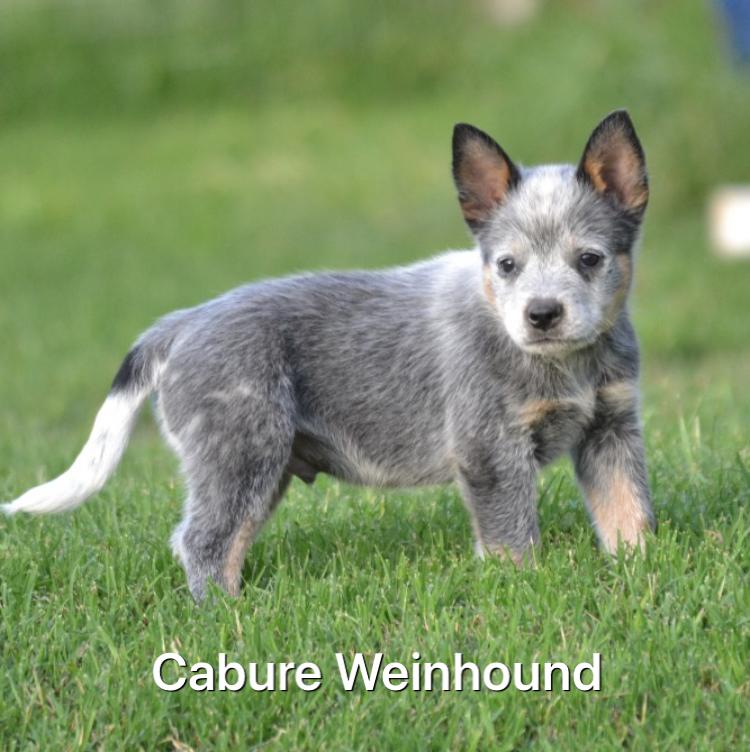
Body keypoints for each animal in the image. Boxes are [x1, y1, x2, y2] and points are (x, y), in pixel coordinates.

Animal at [3, 110, 655, 601]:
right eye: (507, 264)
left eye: (589, 259)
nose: (542, 314)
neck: (564, 364)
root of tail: (181, 324)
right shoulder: (491, 451)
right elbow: (512, 539)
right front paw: (522, 589)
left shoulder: (611, 430)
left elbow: (629, 512)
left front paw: (640, 571)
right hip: (242, 454)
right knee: (202, 541)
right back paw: (228, 613)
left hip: (261, 469)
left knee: (224, 539)